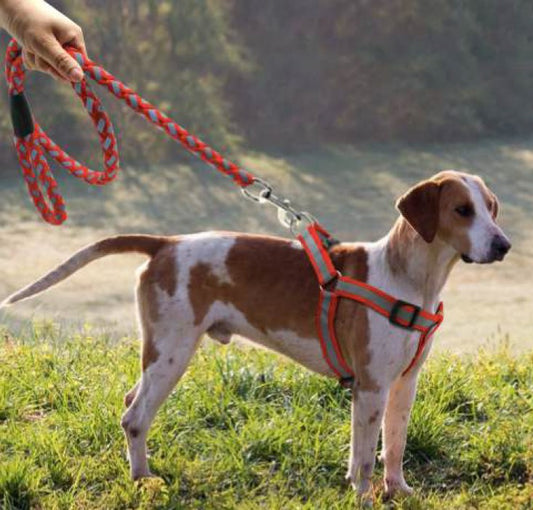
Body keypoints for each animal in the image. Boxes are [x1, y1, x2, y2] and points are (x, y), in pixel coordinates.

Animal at [1, 170, 512, 502]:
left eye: (491, 208)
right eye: (461, 210)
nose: (504, 244)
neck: (408, 278)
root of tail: (165, 243)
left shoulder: (403, 385)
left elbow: (395, 447)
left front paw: (398, 490)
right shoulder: (369, 388)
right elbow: (365, 458)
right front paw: (365, 498)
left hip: (160, 355)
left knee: (130, 403)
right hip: (172, 354)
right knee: (134, 418)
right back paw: (143, 480)